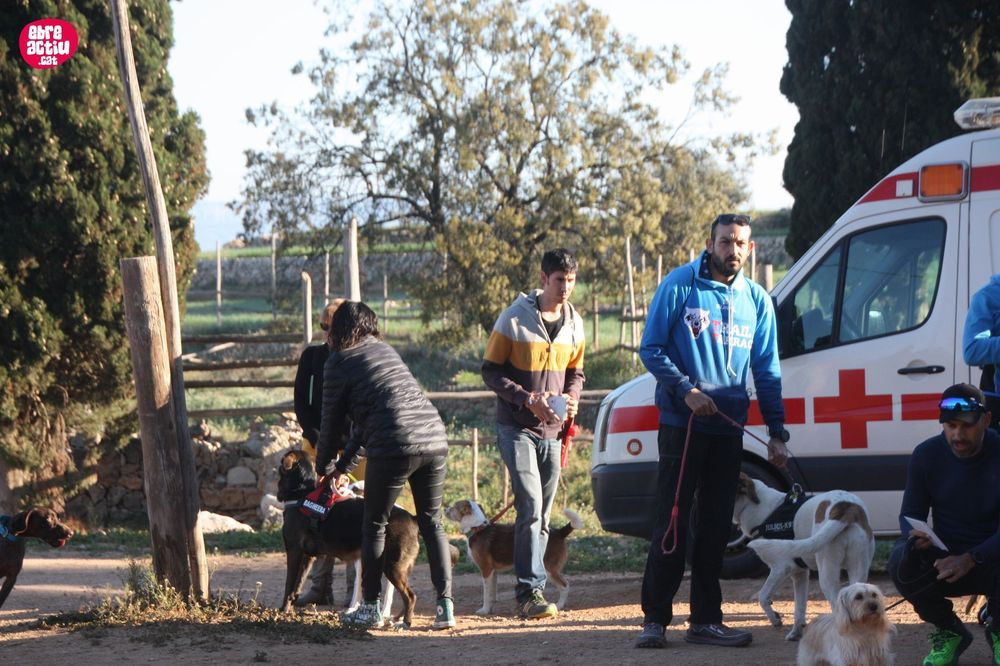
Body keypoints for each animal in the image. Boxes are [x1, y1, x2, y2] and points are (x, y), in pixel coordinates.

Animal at [277, 450, 419, 626]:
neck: (300, 493)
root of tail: (412, 518)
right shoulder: (307, 557)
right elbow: (297, 586)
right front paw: (289, 608)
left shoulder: (294, 550)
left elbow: (289, 584)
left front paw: (283, 610)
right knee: (406, 595)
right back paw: (397, 618)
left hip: (392, 566)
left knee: (410, 596)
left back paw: (405, 622)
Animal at [445, 498, 582, 615]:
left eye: (454, 507)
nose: (445, 509)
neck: (478, 528)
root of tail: (559, 532)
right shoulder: (493, 572)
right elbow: (492, 593)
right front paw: (490, 608)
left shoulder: (486, 570)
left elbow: (486, 594)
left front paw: (484, 610)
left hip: (549, 570)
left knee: (565, 586)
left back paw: (559, 605)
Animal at [732, 473, 875, 640]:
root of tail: (846, 506)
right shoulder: (800, 574)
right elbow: (799, 608)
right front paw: (796, 632)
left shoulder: (781, 568)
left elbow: (763, 596)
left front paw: (775, 618)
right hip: (859, 569)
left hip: (827, 574)